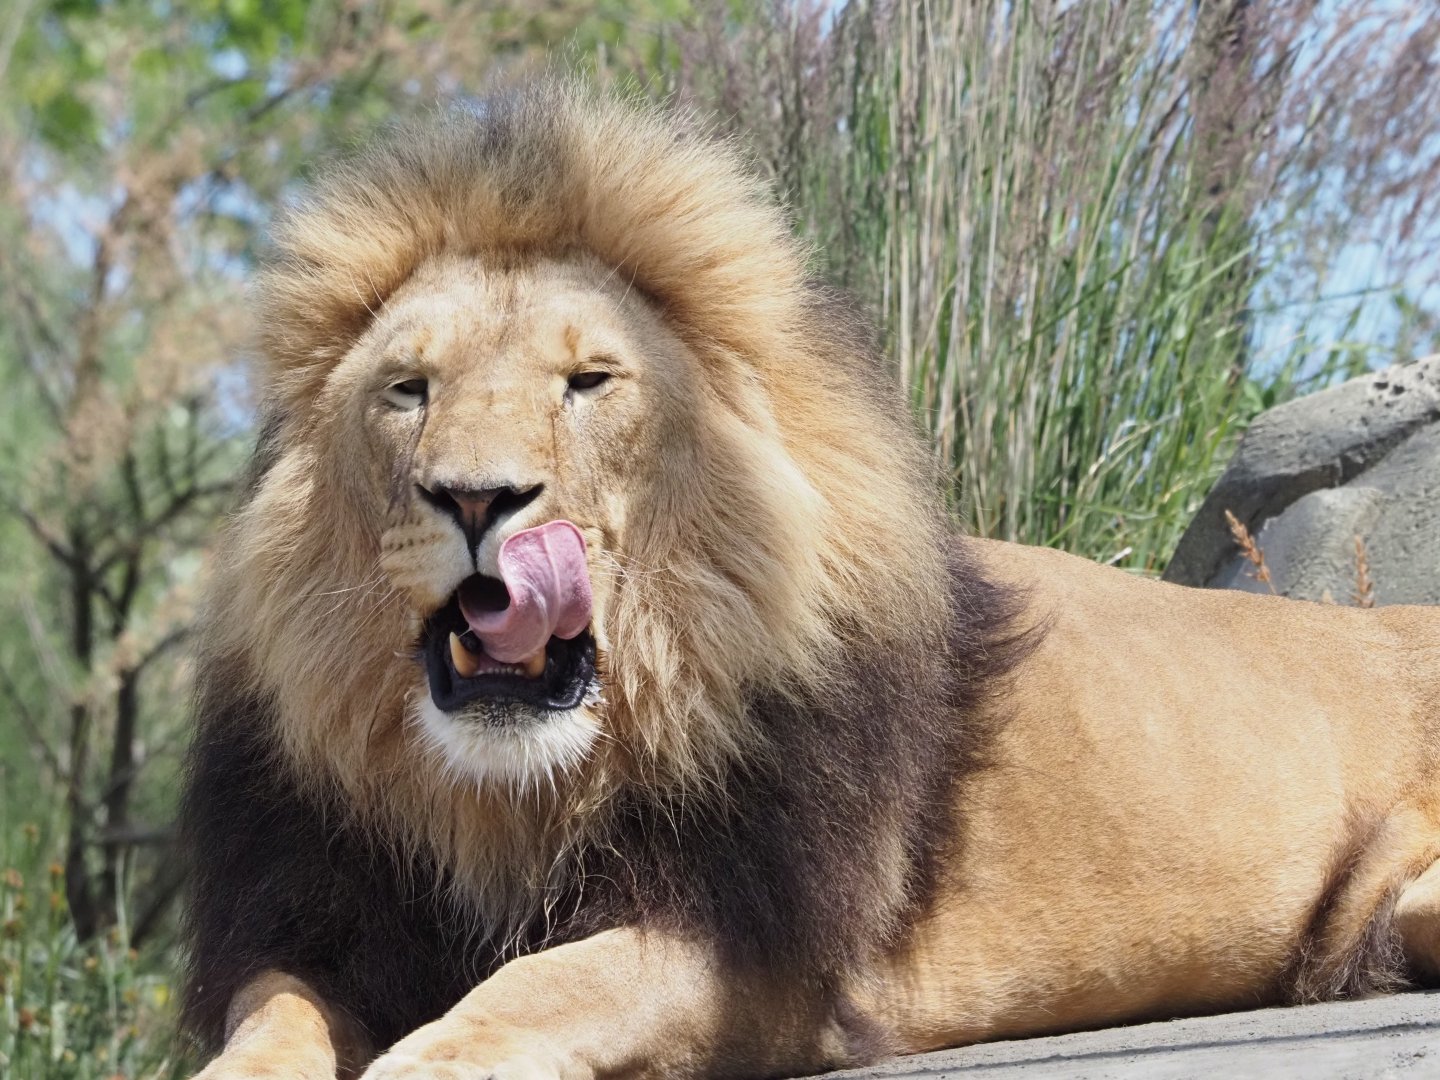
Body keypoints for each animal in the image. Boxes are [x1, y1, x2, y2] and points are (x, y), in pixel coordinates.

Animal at [180, 81, 1440, 1080]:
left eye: (589, 381)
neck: (505, 800)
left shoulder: (754, 950)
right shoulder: (317, 918)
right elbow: (273, 1017)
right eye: (408, 389)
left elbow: (546, 984)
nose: (477, 500)